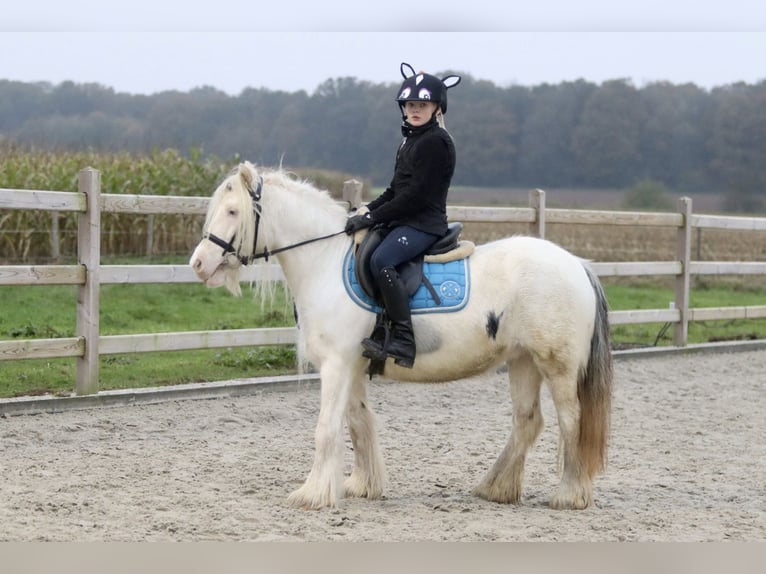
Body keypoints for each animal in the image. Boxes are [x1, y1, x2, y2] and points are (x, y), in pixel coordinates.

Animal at [192, 162, 616, 512]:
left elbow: (326, 429)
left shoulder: (335, 365)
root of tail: (577, 265)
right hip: (523, 360)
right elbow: (358, 423)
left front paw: (312, 494)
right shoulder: (352, 366)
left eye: (233, 211)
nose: (198, 264)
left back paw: (569, 495)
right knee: (528, 421)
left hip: (557, 366)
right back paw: (494, 488)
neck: (324, 262)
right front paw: (362, 486)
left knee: (571, 420)